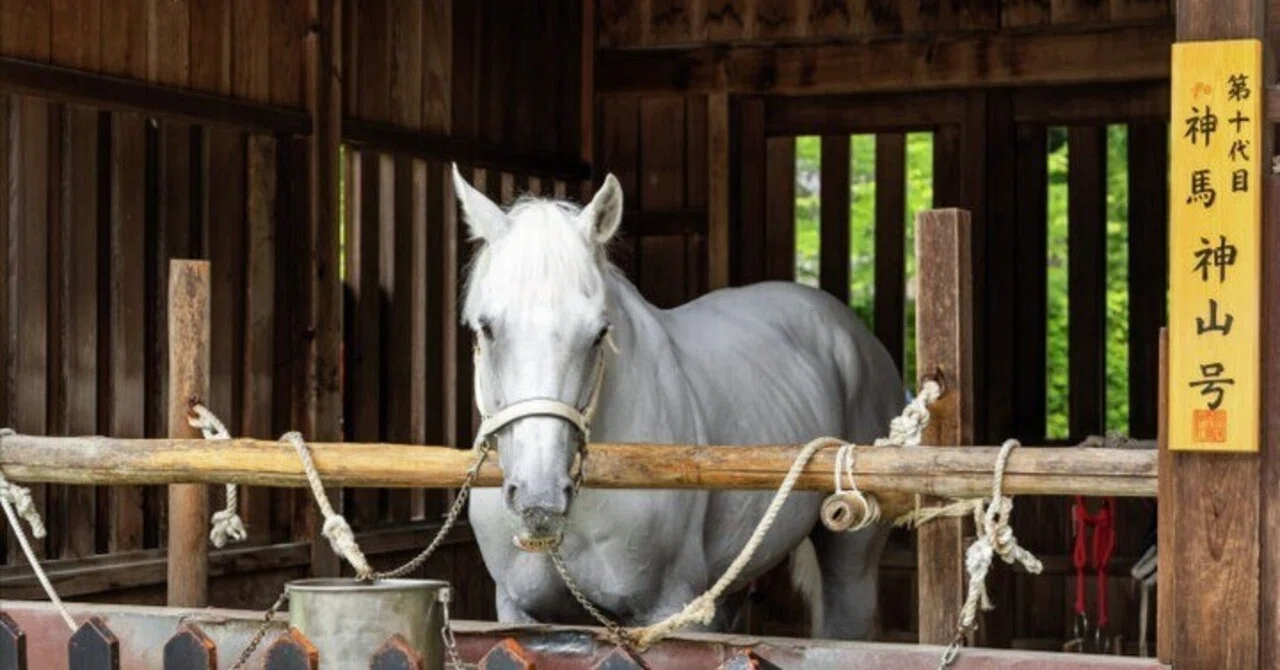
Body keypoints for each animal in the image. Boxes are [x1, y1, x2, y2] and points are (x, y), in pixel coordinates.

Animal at [452, 164, 907, 641]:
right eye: (486, 328)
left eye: (598, 333)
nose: (539, 498)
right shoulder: (516, 609)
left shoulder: (669, 606)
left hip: (850, 561)